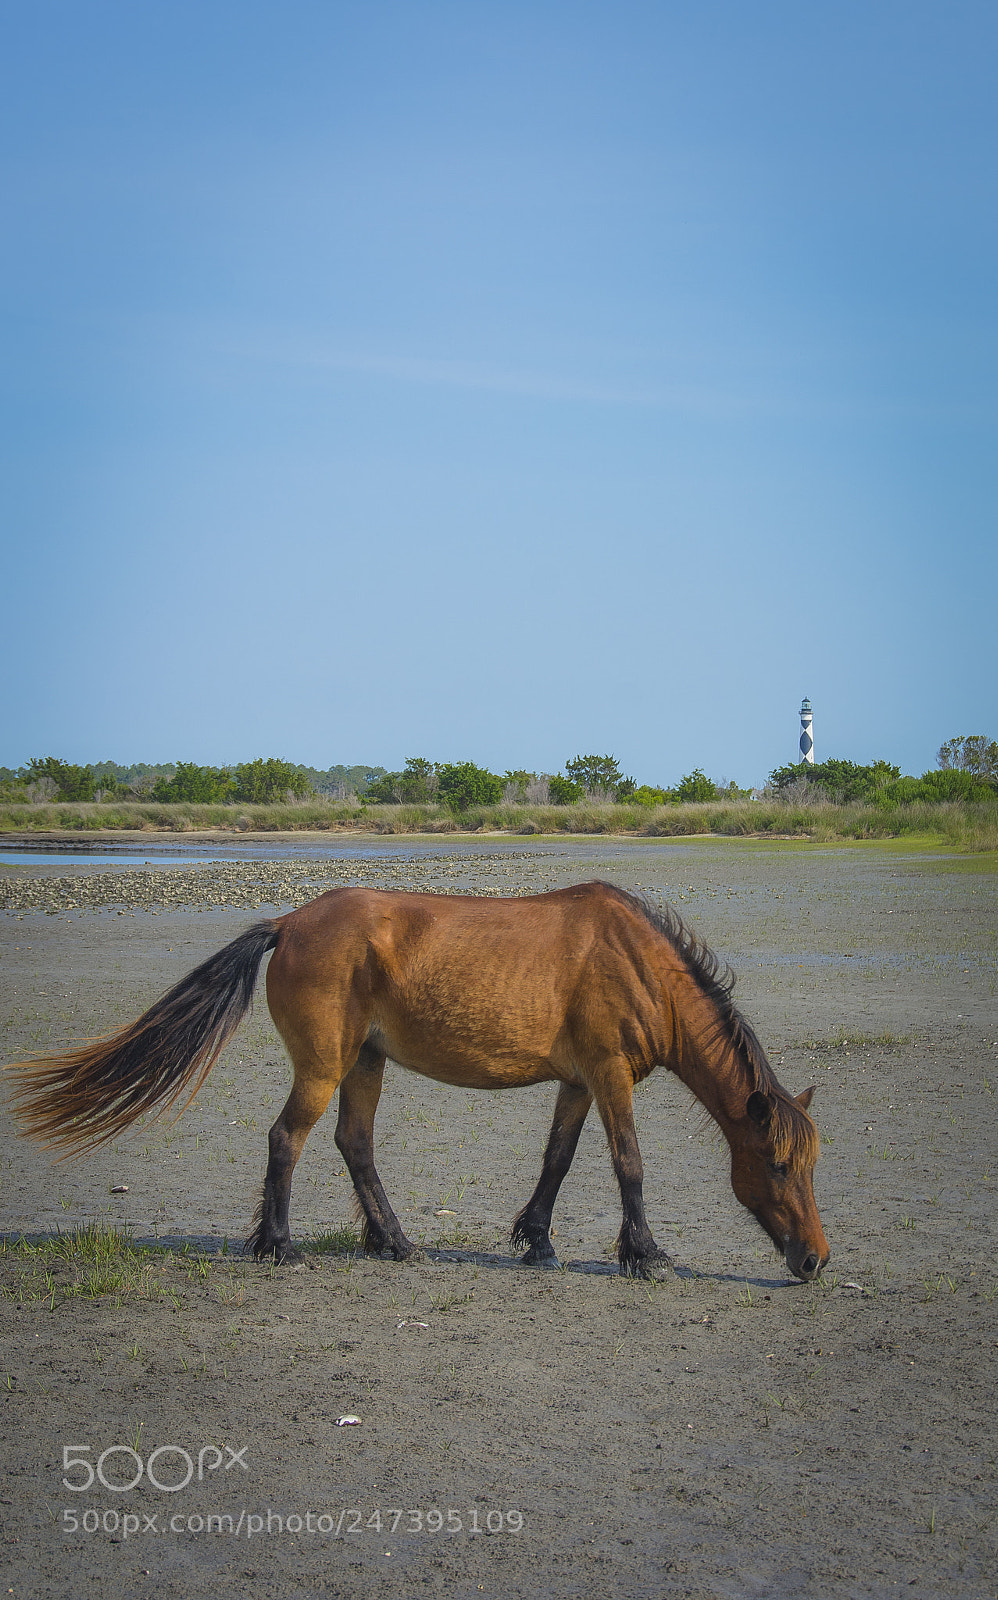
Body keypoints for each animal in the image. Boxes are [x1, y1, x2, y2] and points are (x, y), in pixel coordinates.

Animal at [6, 881, 829, 1281]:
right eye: (776, 1163)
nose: (816, 1260)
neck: (635, 963)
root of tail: (289, 922)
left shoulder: (578, 1082)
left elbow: (557, 1161)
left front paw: (537, 1241)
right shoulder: (609, 1076)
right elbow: (628, 1163)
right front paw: (647, 1256)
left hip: (364, 1063)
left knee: (354, 1143)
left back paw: (394, 1243)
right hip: (324, 1065)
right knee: (287, 1138)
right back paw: (279, 1246)